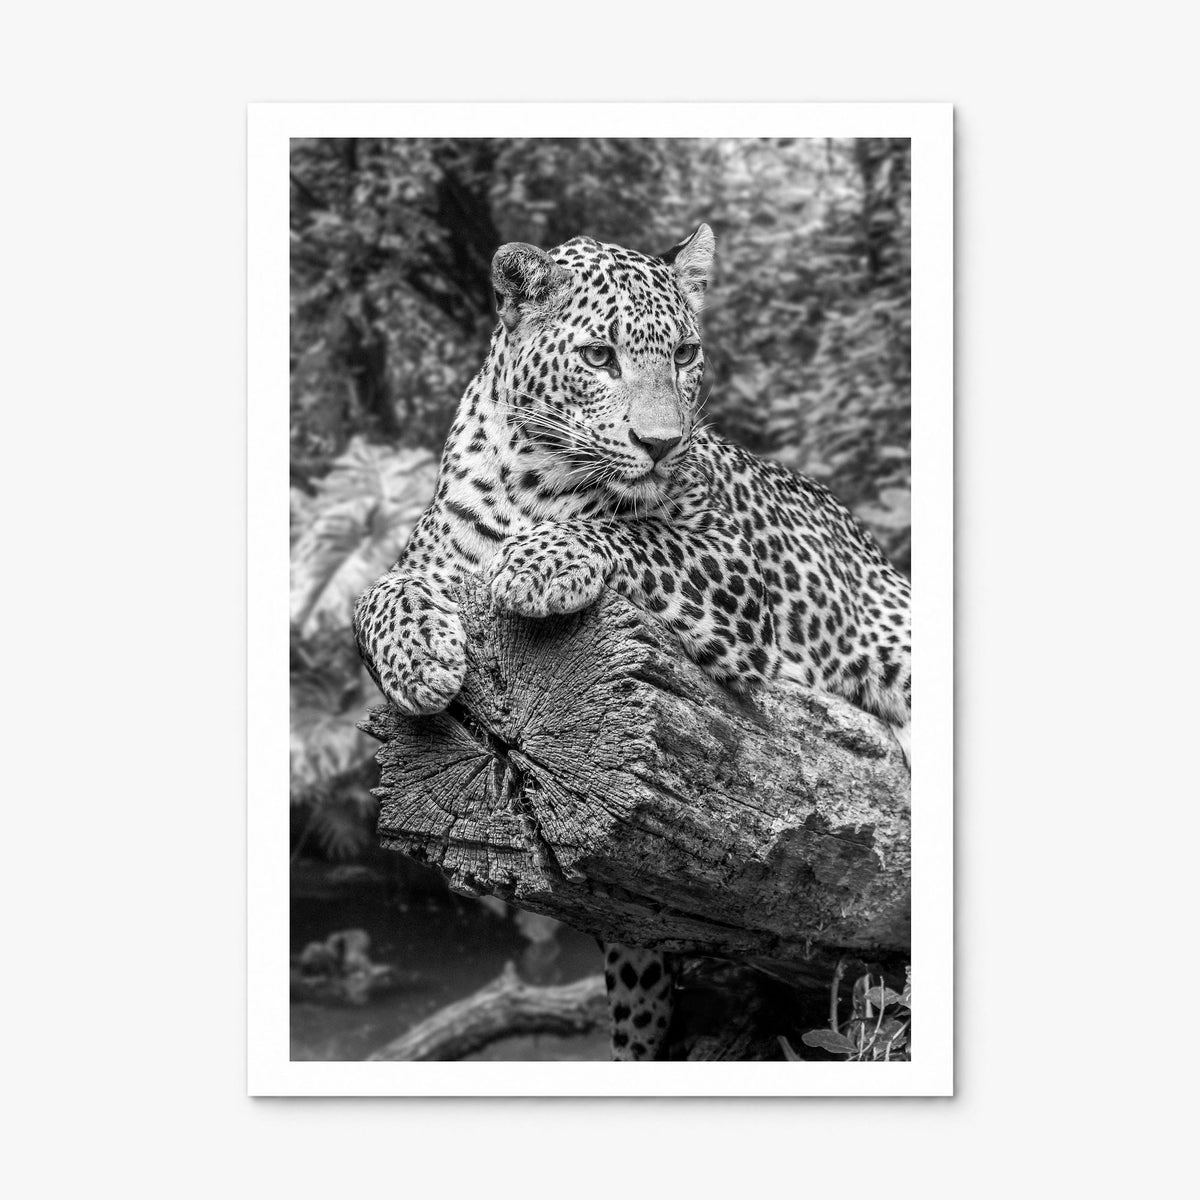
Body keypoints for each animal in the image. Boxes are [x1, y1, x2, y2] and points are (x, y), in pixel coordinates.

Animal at [353, 224, 911, 1061]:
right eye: (598, 357)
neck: (535, 480)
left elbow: (631, 533)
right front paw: (419, 660)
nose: (661, 443)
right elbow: (377, 594)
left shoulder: (726, 560)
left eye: (684, 353)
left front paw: (536, 565)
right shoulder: (427, 560)